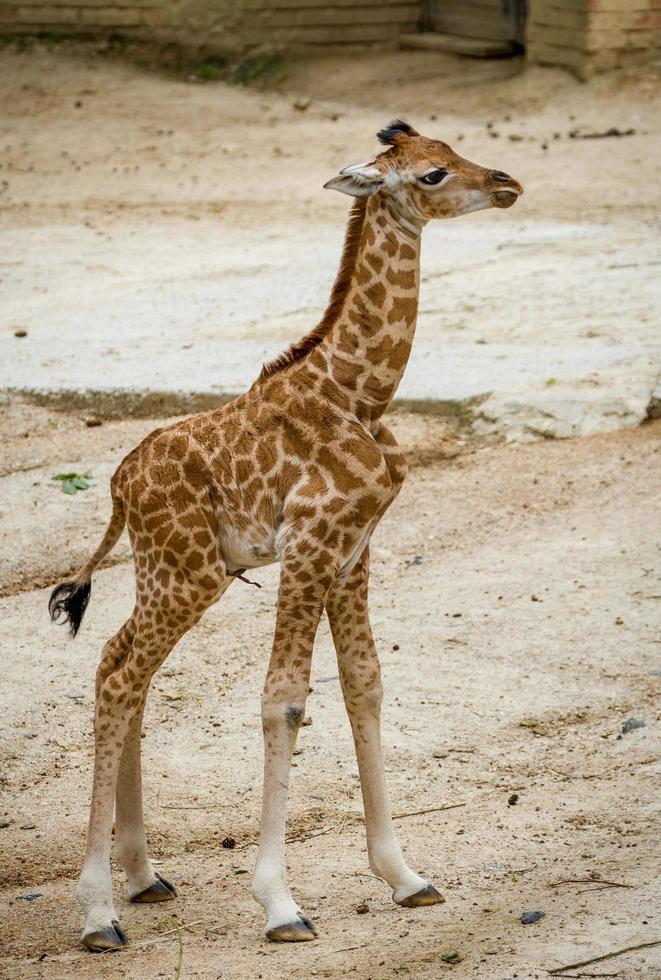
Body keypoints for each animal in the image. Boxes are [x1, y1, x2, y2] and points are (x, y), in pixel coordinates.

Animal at [49, 120, 520, 948]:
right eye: (431, 174)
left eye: (452, 148)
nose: (505, 184)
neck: (360, 393)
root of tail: (118, 485)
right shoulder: (310, 543)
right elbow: (285, 702)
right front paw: (279, 903)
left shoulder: (353, 548)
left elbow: (364, 684)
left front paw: (405, 877)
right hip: (187, 572)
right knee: (120, 675)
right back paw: (98, 911)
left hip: (172, 571)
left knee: (120, 666)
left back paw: (141, 877)